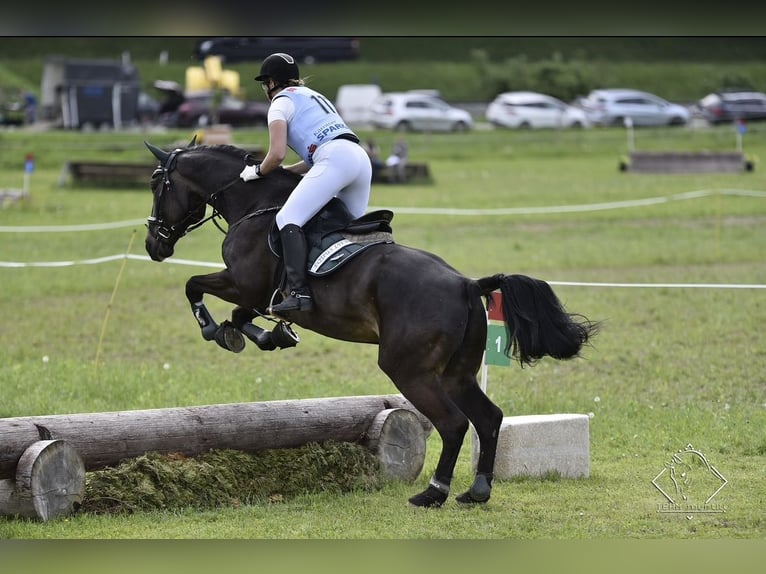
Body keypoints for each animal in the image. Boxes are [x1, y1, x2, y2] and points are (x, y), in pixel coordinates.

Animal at [144, 142, 600, 510]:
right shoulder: (255, 295)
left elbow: (194, 286)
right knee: (488, 418)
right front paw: (268, 335)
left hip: (408, 369)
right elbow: (242, 317)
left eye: (156, 186)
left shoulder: (243, 283)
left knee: (454, 424)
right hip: (457, 374)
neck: (253, 204)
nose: (154, 245)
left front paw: (213, 329)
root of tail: (466, 284)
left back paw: (433, 494)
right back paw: (477, 492)